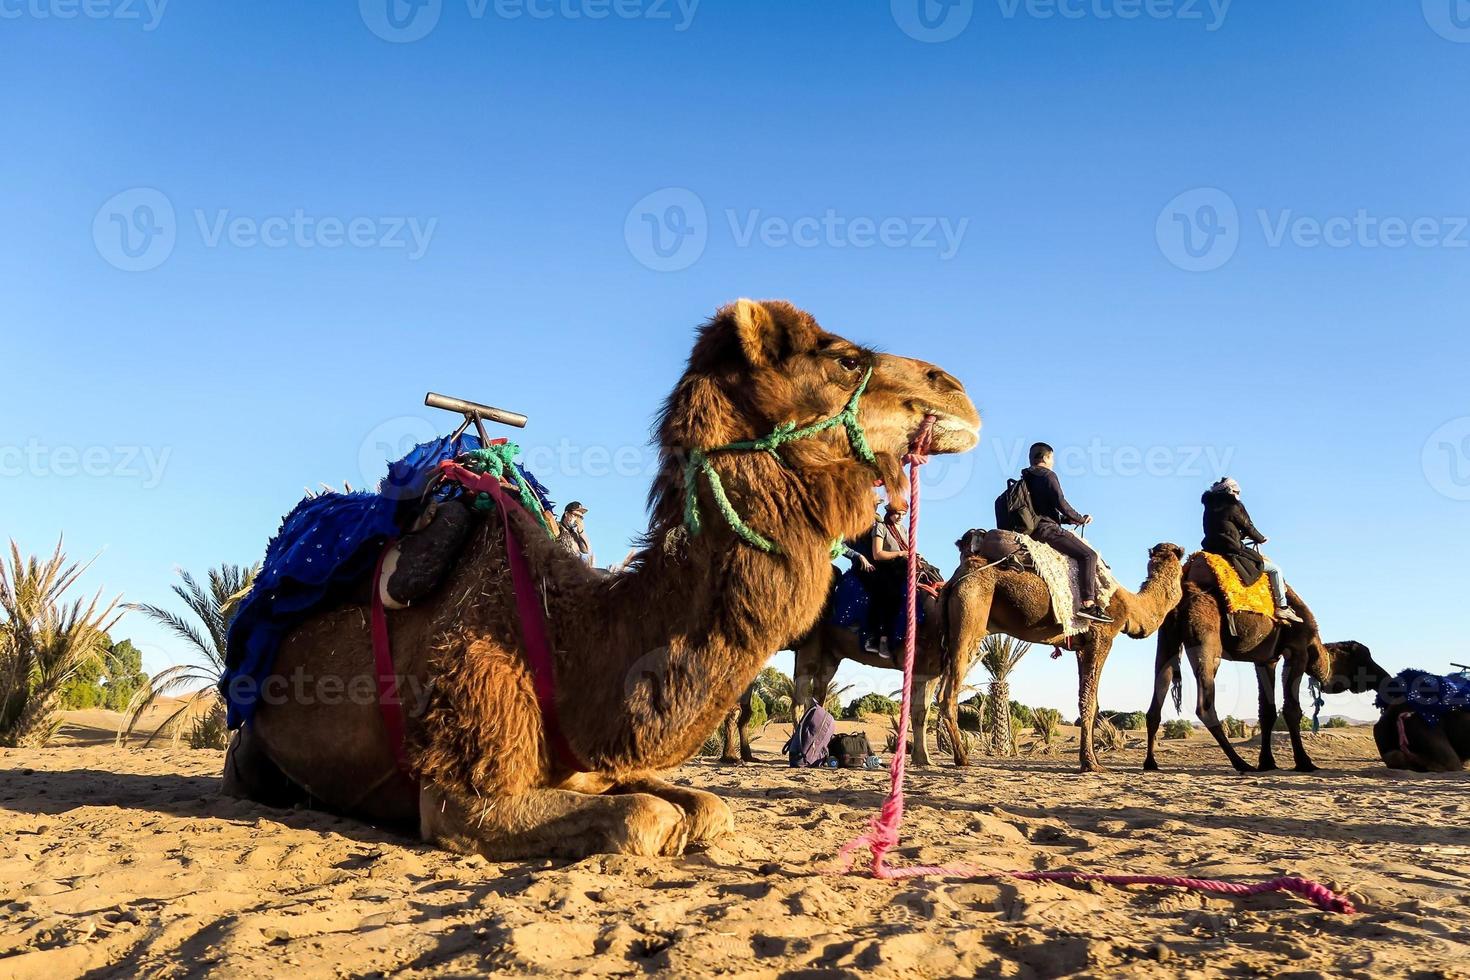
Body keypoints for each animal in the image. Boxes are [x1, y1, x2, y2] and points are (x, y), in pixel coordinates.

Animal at [217, 299, 976, 858]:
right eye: (844, 357)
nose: (957, 391)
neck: (569, 643)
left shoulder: (602, 762)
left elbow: (707, 808)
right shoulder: (456, 793)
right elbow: (648, 819)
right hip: (252, 748)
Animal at [934, 540, 1187, 769]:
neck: (1130, 607)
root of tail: (956, 579)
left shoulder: (1081, 646)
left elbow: (1089, 699)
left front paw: (1091, 760)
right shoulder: (1102, 637)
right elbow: (1090, 701)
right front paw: (1091, 764)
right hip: (970, 619)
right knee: (948, 693)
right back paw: (962, 758)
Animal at [1146, 575, 1387, 775]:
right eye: (1364, 658)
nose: (1384, 677)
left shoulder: (1265, 659)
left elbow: (1267, 711)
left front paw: (1267, 762)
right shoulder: (1297, 652)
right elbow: (1291, 710)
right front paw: (1304, 762)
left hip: (1167, 639)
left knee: (1156, 699)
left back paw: (1151, 762)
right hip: (1206, 643)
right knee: (1204, 705)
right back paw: (1241, 763)